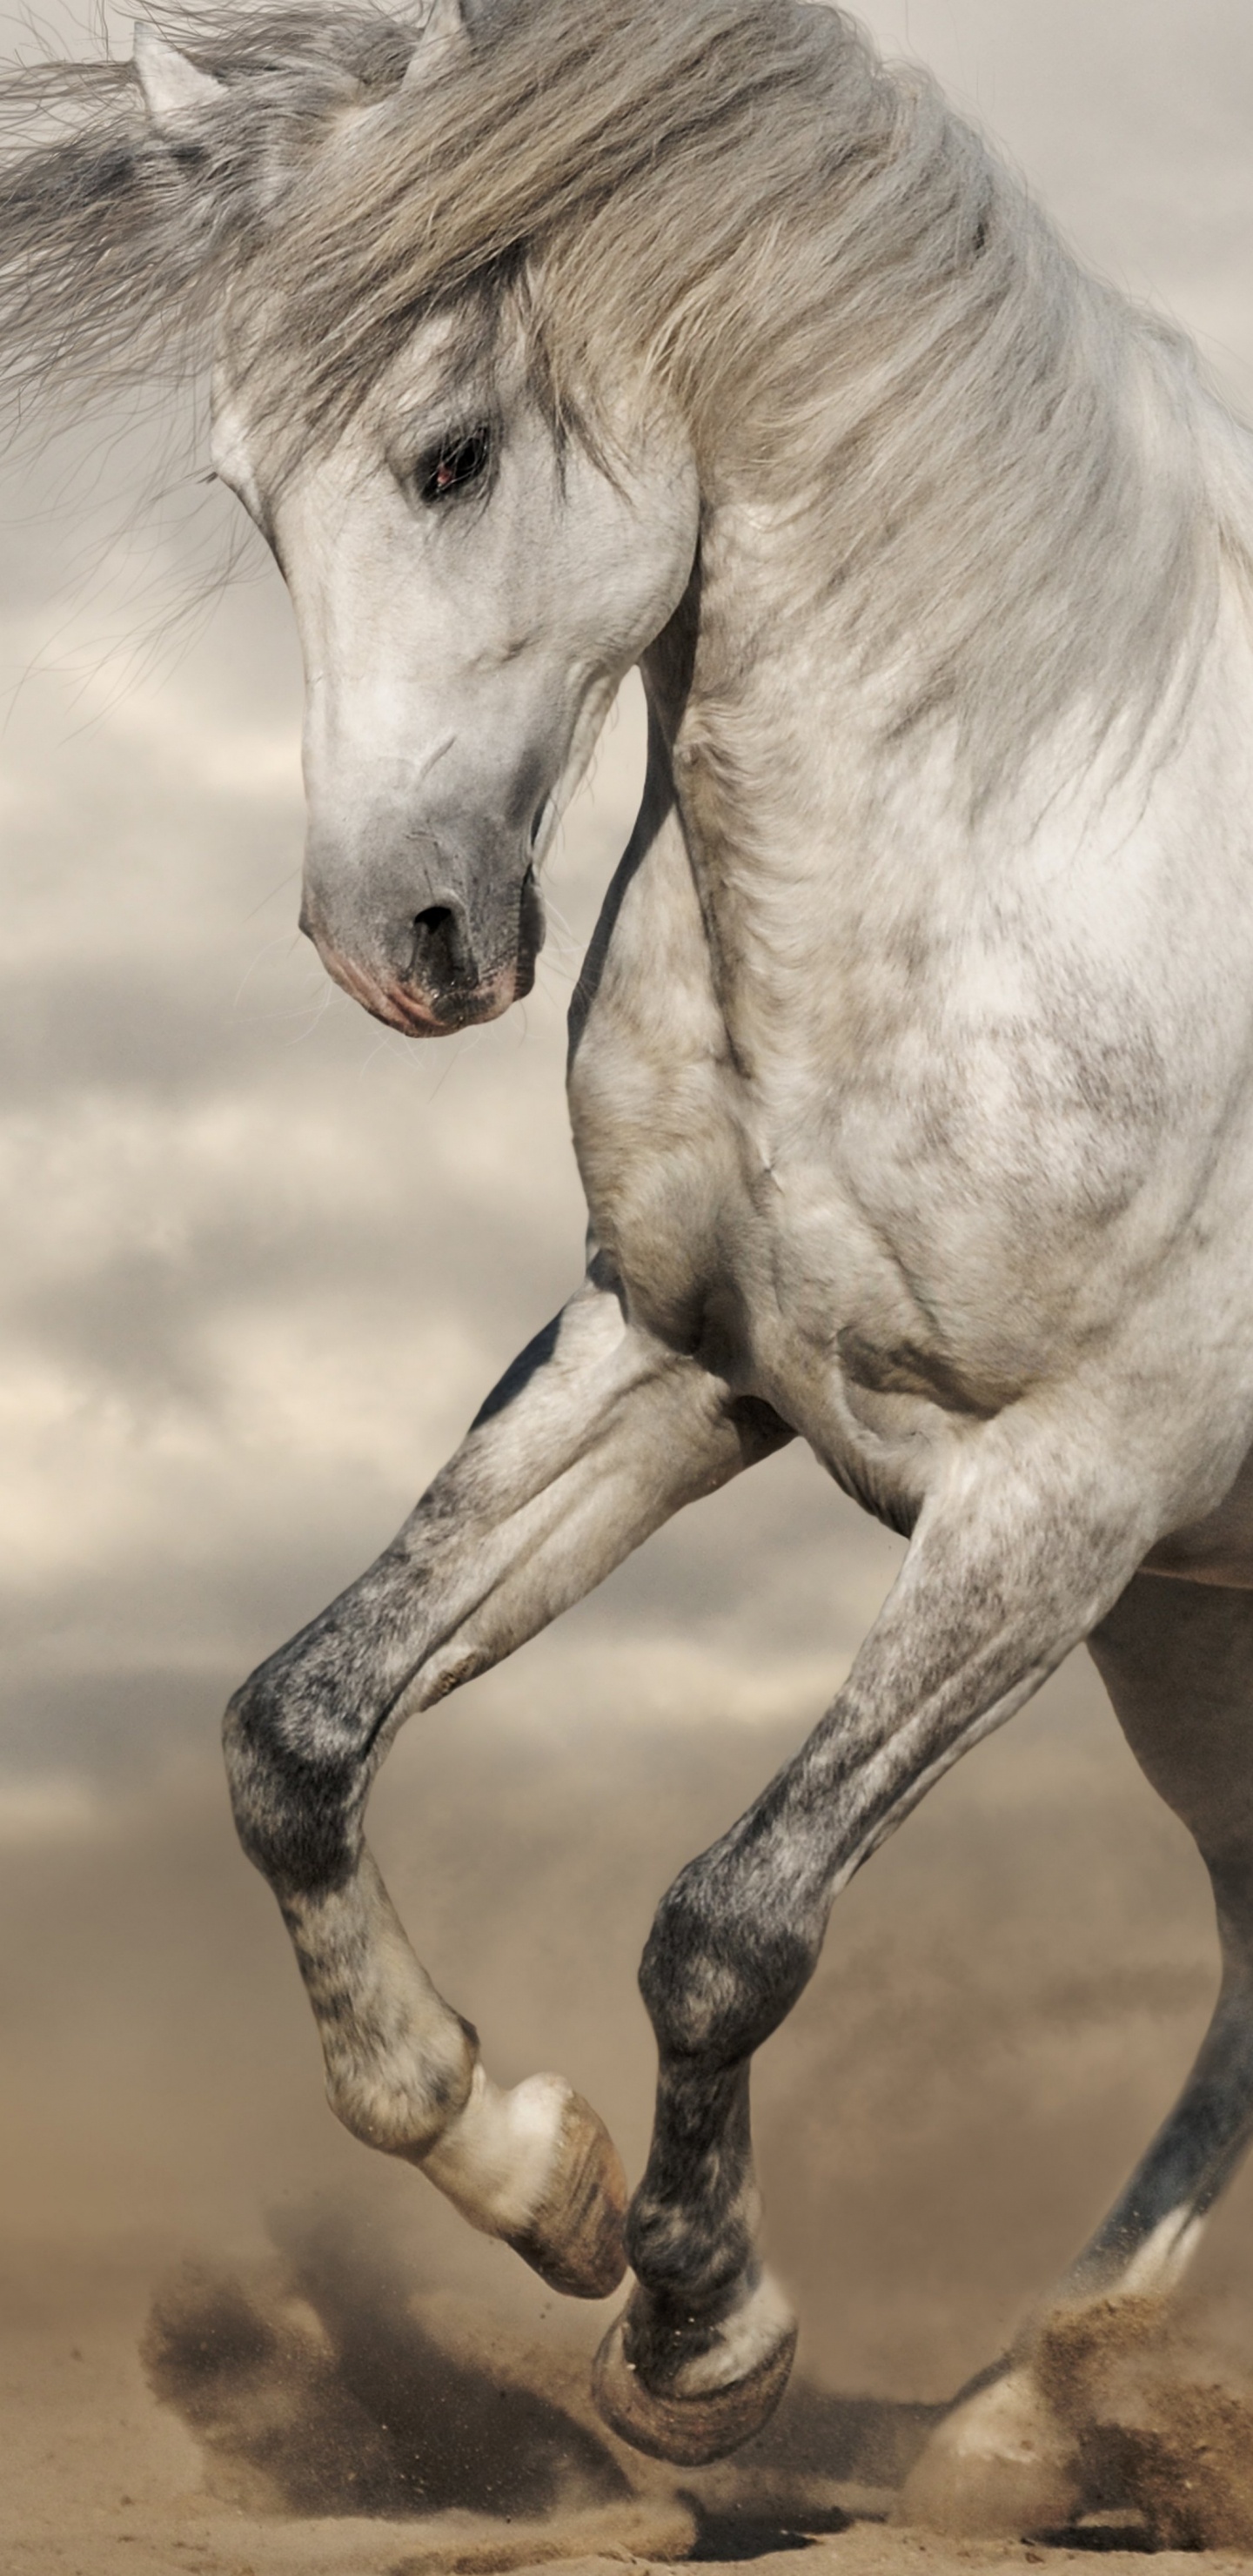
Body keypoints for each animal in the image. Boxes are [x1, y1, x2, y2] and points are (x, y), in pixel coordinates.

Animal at [7, 0, 1253, 2529]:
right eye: (240, 493)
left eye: (451, 452)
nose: (393, 940)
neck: (1031, 826)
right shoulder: (677, 1363)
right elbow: (293, 1731)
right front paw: (530, 2166)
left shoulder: (1062, 1493)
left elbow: (730, 1918)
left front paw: (696, 2338)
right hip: (1200, 1646)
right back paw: (1013, 2417)